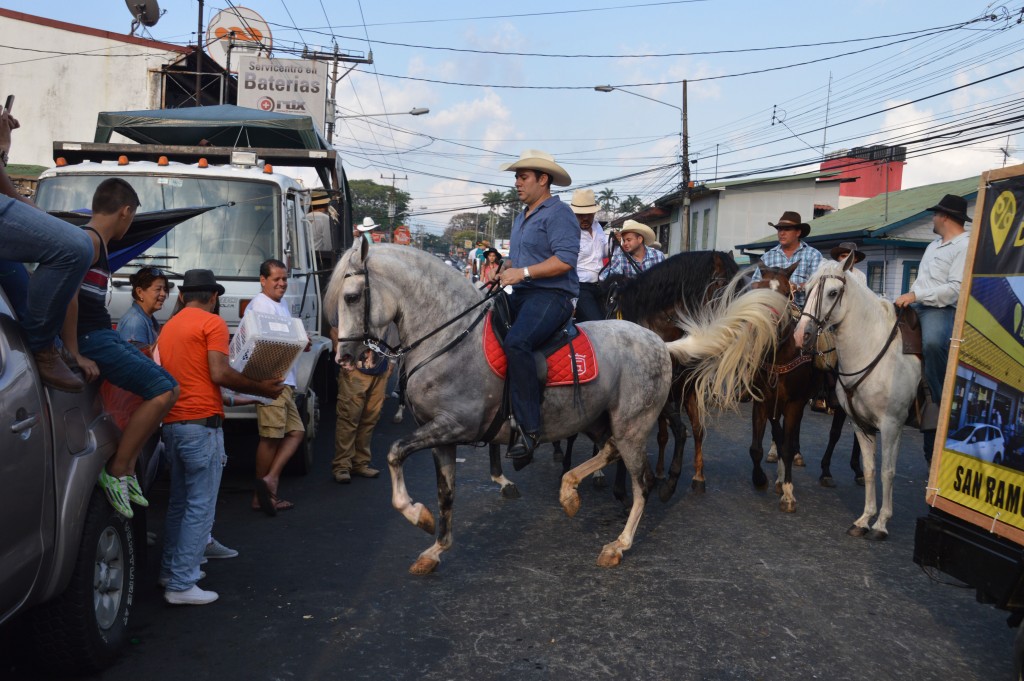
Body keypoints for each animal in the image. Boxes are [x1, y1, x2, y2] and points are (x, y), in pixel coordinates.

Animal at [327, 241, 782, 569]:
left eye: (351, 296)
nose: (345, 358)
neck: (450, 337)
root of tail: (660, 343)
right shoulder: (440, 436)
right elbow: (444, 492)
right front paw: (435, 546)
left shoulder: (455, 425)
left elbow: (394, 453)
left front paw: (414, 514)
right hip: (603, 419)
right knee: (611, 449)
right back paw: (570, 491)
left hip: (633, 425)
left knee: (643, 481)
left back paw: (618, 543)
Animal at [790, 258, 921, 540]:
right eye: (807, 288)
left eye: (832, 293)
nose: (800, 335)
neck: (873, 352)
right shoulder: (859, 421)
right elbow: (870, 468)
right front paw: (864, 519)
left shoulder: (891, 425)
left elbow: (886, 471)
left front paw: (880, 523)